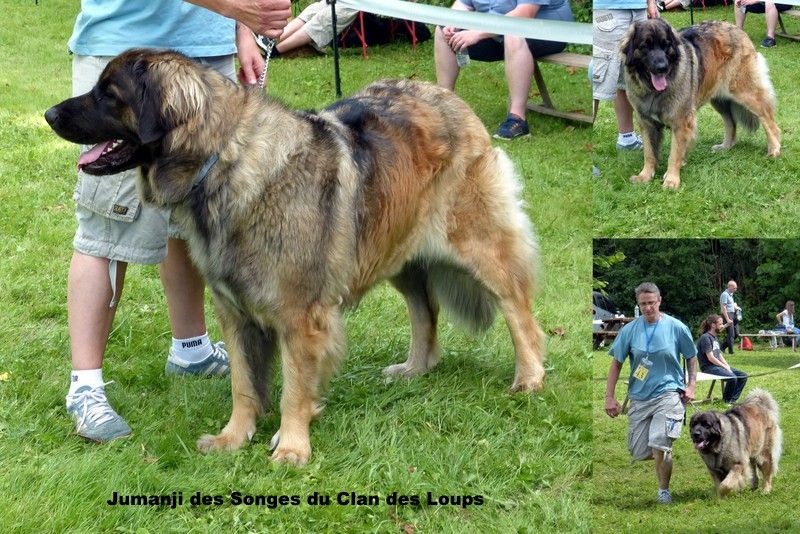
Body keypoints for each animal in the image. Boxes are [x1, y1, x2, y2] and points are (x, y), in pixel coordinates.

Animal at [43, 51, 544, 468]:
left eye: (109, 94)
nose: (48, 114)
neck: (222, 161)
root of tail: (448, 96)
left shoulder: (299, 316)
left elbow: (293, 389)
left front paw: (291, 446)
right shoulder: (234, 311)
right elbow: (244, 384)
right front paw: (233, 437)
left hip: (477, 243)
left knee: (518, 309)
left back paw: (529, 378)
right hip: (396, 251)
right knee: (425, 311)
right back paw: (415, 368)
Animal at [620, 18, 780, 189]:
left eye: (666, 45)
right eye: (645, 46)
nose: (662, 68)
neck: (654, 92)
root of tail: (735, 28)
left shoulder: (681, 121)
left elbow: (674, 154)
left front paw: (671, 179)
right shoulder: (646, 122)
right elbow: (649, 153)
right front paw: (644, 176)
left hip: (745, 93)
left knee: (768, 120)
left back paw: (774, 149)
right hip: (719, 100)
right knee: (731, 122)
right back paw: (725, 146)